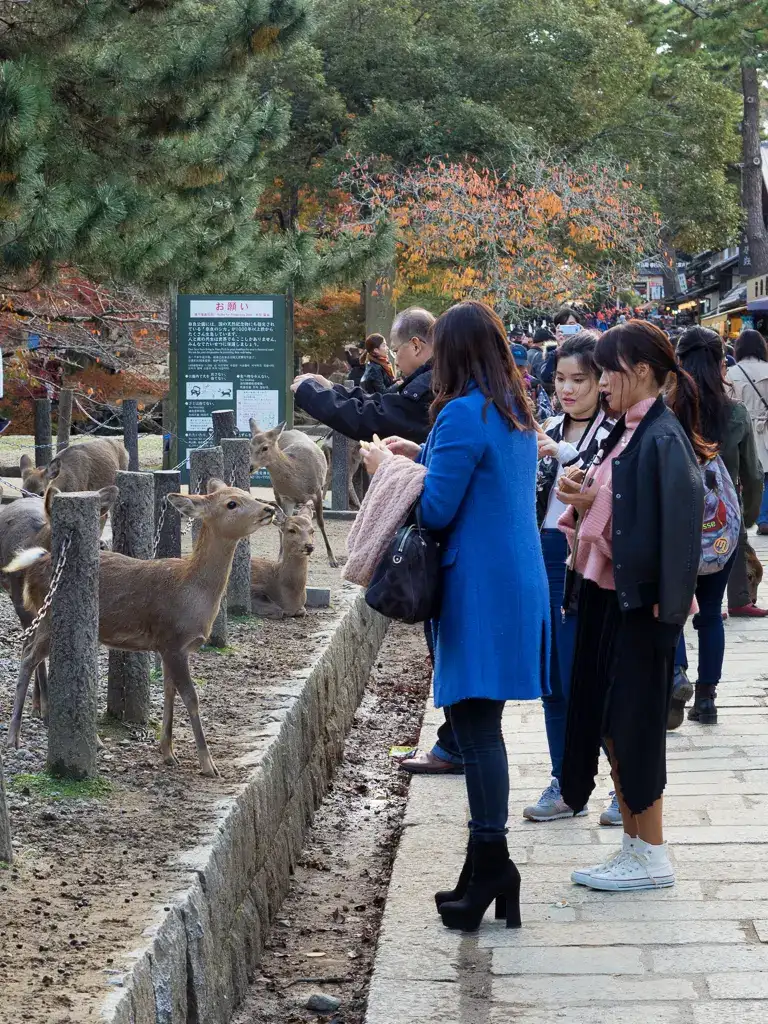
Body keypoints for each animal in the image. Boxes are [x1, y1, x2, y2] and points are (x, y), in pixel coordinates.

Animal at [4, 480, 274, 777]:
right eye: (231, 503)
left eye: (246, 493)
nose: (270, 509)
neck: (192, 593)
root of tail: (37, 563)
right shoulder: (173, 640)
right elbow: (191, 697)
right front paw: (208, 764)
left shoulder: (169, 647)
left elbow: (169, 691)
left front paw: (168, 752)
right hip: (50, 616)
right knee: (29, 656)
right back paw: (14, 737)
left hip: (44, 618)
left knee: (28, 649)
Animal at [249, 420, 338, 567]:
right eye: (249, 446)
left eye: (265, 447)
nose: (250, 467)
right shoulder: (286, 498)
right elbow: (285, 524)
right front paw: (281, 558)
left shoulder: (317, 491)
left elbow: (320, 522)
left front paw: (333, 560)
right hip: (276, 493)